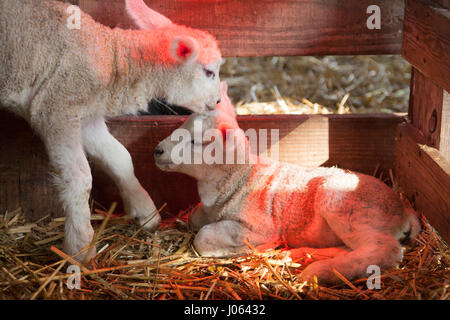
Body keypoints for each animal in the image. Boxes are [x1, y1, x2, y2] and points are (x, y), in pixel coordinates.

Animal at [0, 0, 223, 262]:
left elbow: (120, 158)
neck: (113, 59)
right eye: (209, 71)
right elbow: (80, 177)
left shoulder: (86, 116)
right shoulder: (56, 107)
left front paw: (145, 212)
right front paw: (81, 247)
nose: (218, 101)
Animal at [156, 83, 422, 284]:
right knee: (353, 248)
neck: (238, 178)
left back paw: (320, 272)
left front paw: (249, 248)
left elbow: (203, 237)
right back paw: (304, 255)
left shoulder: (259, 226)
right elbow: (195, 218)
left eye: (195, 141)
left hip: (350, 209)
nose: (157, 150)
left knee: (384, 249)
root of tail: (403, 209)